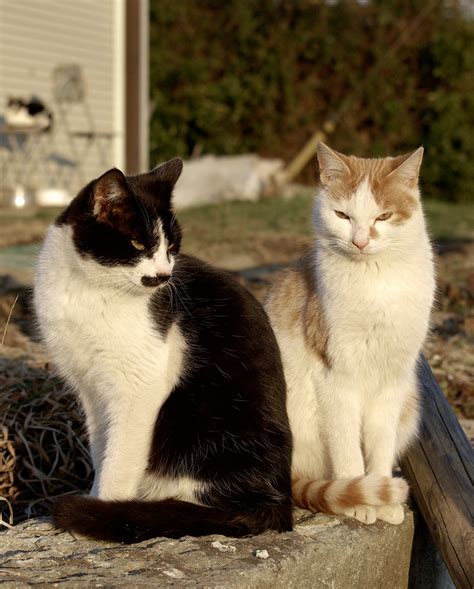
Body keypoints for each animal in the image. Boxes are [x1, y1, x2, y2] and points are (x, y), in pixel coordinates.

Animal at [34, 157, 292, 544]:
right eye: (138, 243)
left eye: (171, 247)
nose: (164, 275)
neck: (89, 291)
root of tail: (279, 502)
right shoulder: (89, 389)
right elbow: (100, 447)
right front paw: (96, 497)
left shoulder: (140, 385)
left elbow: (120, 457)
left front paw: (103, 508)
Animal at [264, 144, 436, 524]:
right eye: (342, 215)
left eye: (383, 217)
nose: (359, 241)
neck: (376, 281)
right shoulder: (336, 379)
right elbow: (346, 447)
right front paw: (359, 498)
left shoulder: (392, 381)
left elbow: (380, 444)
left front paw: (382, 496)